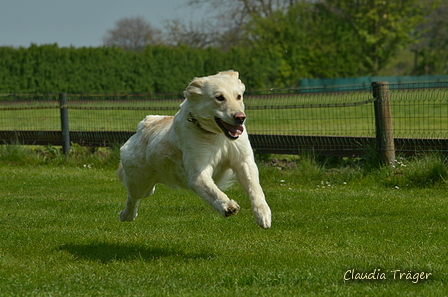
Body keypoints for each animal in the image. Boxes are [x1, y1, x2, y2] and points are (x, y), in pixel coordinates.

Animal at [118, 70, 270, 228]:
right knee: (132, 198)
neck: (218, 136)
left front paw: (263, 214)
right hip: (140, 183)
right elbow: (214, 191)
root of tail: (144, 124)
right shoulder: (198, 174)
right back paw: (126, 215)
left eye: (238, 96)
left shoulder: (244, 161)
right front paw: (227, 206)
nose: (240, 117)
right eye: (219, 97)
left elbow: (255, 188)